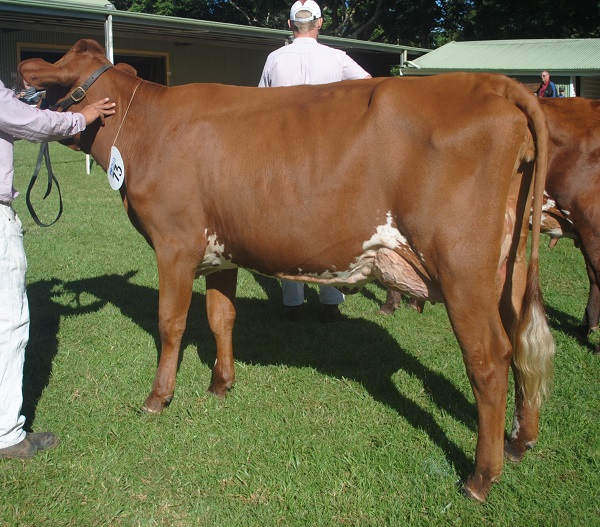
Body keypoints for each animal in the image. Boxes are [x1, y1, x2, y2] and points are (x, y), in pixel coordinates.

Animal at [19, 39, 552, 502]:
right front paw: (221, 384)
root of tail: (491, 83)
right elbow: (221, 317)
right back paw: (519, 442)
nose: (23, 68)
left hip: (461, 268)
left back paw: (481, 477)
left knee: (489, 358)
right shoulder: (221, 251)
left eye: (61, 70)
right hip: (509, 270)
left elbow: (171, 323)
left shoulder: (174, 243)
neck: (149, 127)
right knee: (523, 347)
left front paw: (157, 397)